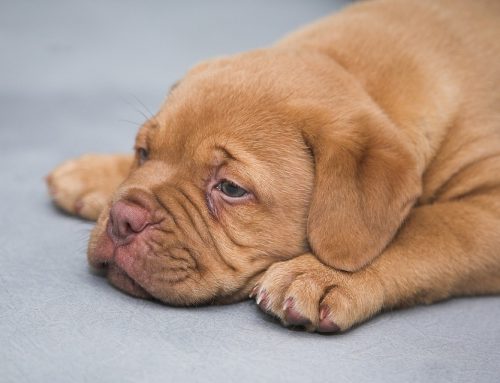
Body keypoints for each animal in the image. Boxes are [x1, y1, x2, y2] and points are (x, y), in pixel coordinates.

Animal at [47, 0, 500, 332]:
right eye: (143, 152)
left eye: (231, 189)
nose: (122, 218)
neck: (357, 71)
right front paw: (93, 173)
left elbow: (427, 229)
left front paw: (321, 275)